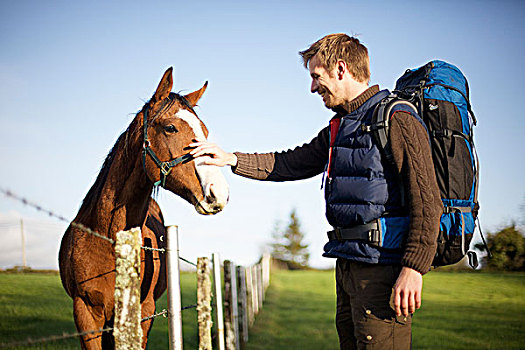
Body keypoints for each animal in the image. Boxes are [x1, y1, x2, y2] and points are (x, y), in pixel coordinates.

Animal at [58, 67, 228, 348]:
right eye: (170, 127)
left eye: (204, 130)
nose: (219, 193)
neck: (108, 239)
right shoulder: (85, 315)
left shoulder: (142, 314)